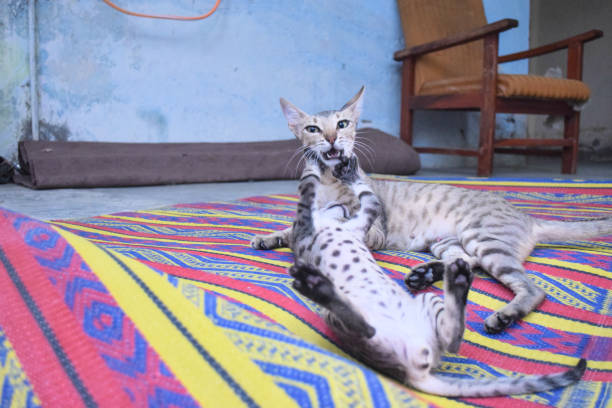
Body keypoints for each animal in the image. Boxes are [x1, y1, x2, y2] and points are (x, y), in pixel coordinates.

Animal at [290, 155, 584, 396]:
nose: (339, 206)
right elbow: (323, 197)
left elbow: (359, 194)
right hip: (459, 246)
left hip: (476, 242)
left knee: (518, 286)